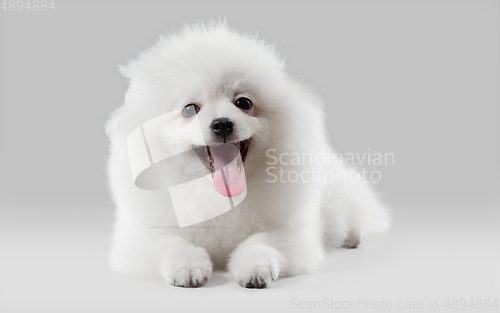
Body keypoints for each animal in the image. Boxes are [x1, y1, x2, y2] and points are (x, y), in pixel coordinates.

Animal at [106, 22, 390, 288]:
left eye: (243, 103)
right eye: (189, 110)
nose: (222, 123)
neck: (219, 198)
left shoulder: (290, 232)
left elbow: (262, 243)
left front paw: (255, 268)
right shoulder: (142, 237)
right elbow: (173, 244)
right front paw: (187, 267)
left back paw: (352, 236)